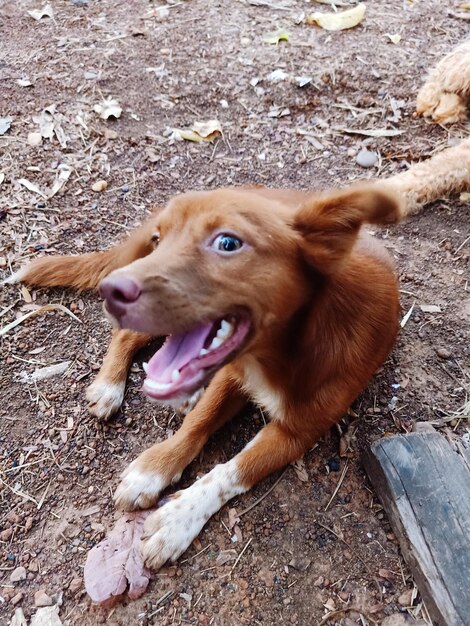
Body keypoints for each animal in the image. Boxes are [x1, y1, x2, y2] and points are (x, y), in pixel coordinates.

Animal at [4, 136, 470, 572]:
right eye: (160, 239)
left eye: (228, 242)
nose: (110, 290)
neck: (285, 352)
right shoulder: (231, 375)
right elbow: (197, 424)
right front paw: (154, 468)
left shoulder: (296, 432)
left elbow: (233, 470)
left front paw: (178, 518)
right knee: (126, 336)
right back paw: (109, 386)